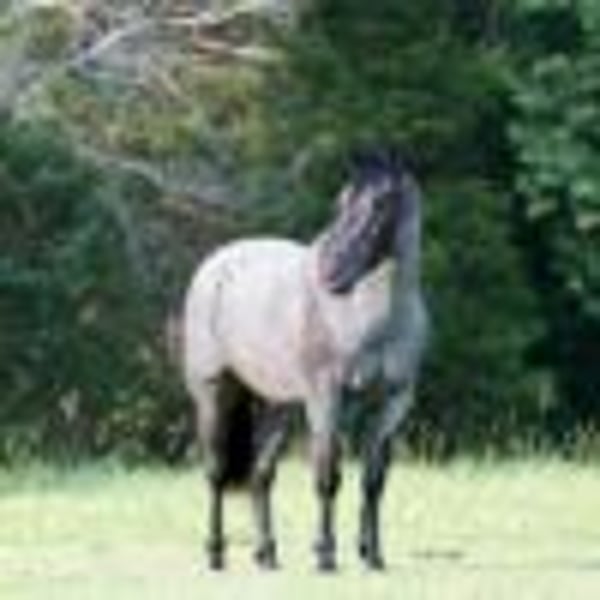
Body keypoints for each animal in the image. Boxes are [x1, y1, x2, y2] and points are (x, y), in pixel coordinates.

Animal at [182, 147, 428, 571]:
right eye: (342, 203)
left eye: (379, 204)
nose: (329, 273)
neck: (371, 317)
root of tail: (215, 265)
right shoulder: (327, 398)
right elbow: (328, 476)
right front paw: (325, 554)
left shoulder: (393, 404)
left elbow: (373, 482)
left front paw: (373, 555)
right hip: (214, 394)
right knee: (216, 473)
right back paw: (216, 553)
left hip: (280, 407)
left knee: (261, 474)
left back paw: (267, 554)